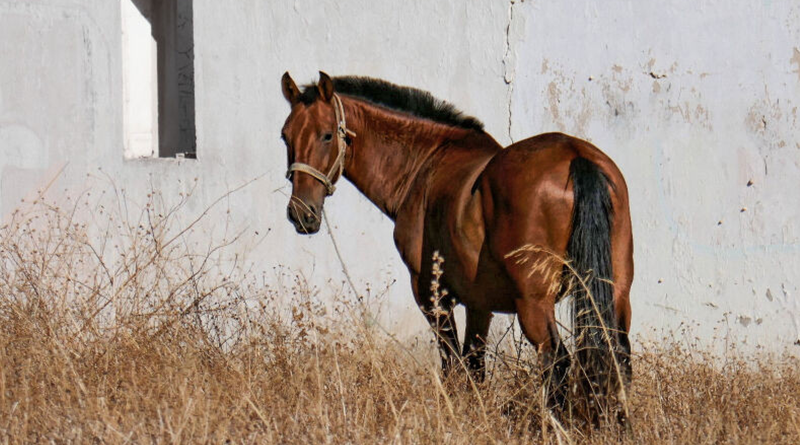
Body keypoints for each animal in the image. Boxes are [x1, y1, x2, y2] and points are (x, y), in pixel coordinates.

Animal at [279, 71, 634, 417]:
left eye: (327, 135)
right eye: (286, 136)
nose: (300, 214)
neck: (424, 164)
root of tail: (576, 157)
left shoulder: (433, 295)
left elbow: (452, 364)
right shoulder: (480, 303)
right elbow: (475, 365)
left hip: (534, 303)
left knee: (557, 361)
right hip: (615, 294)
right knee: (618, 357)